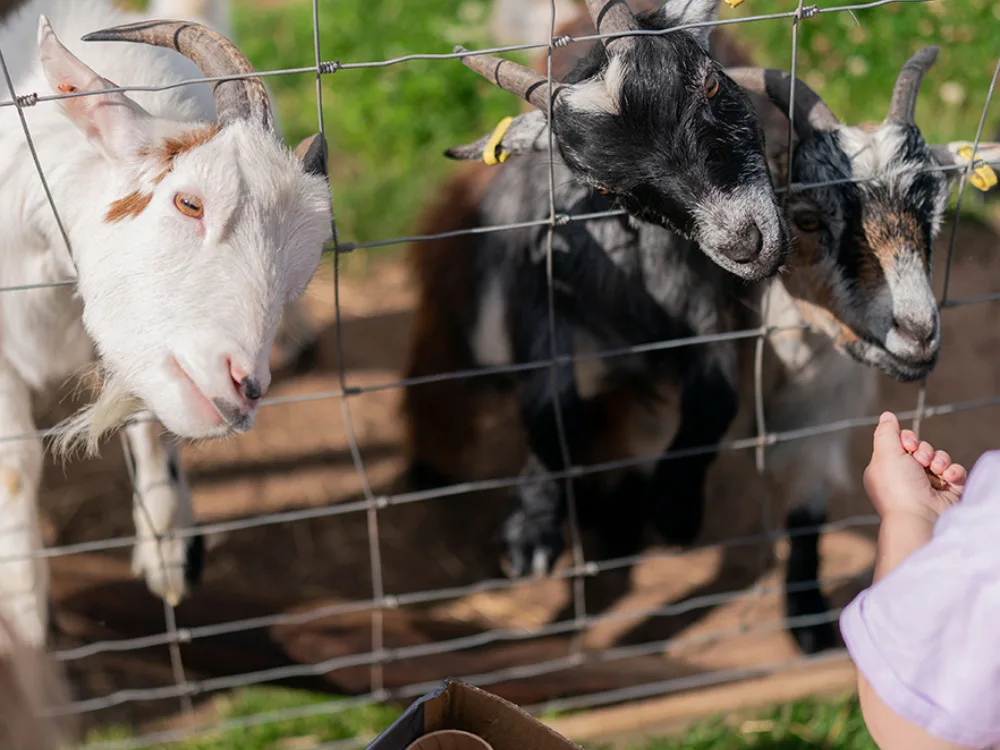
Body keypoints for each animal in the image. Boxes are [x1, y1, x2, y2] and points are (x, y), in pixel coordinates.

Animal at [0, 0, 332, 647]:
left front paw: (170, 553)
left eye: (298, 277)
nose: (243, 386)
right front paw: (25, 607)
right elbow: (15, 462)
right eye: (189, 202)